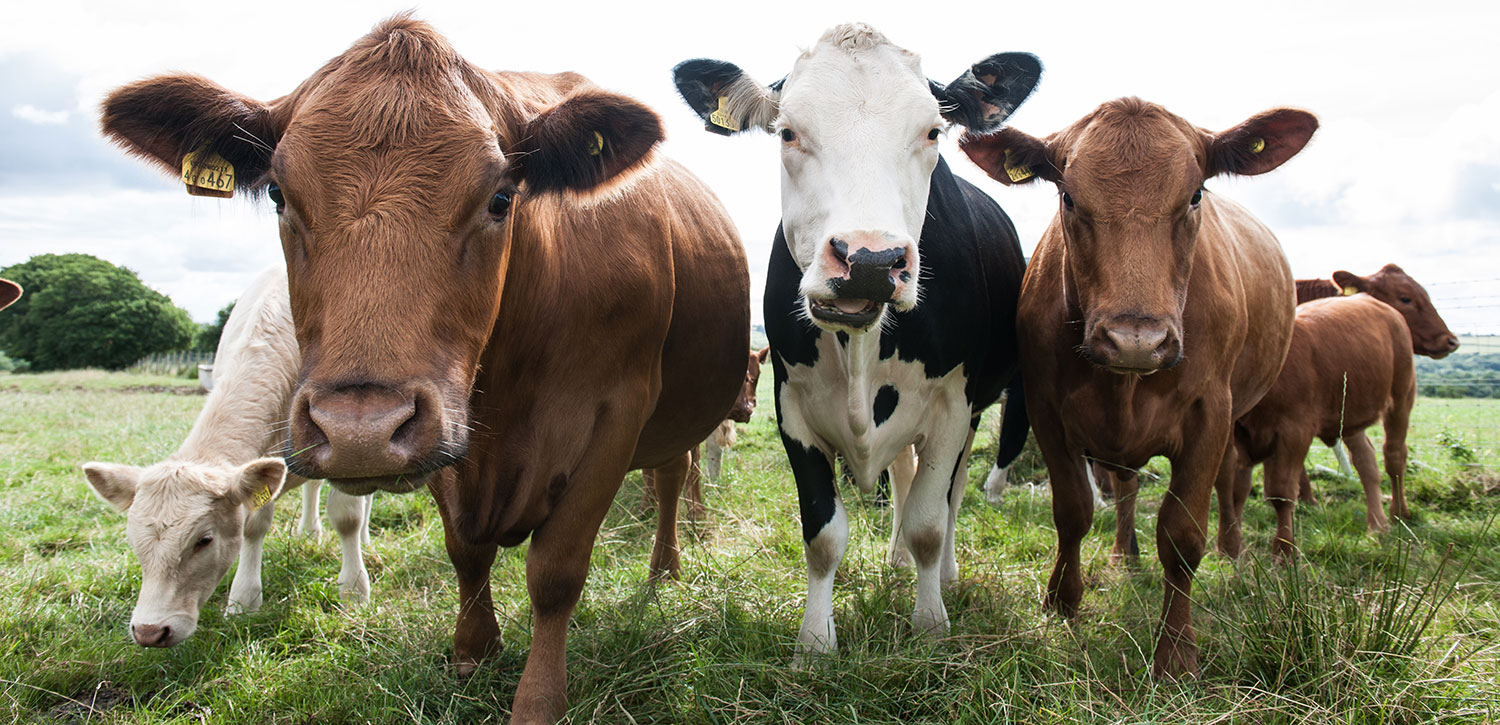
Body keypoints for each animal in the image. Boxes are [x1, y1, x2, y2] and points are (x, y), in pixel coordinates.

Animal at [82, 267, 373, 647]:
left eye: (203, 540)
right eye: (132, 540)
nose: (149, 631)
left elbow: (347, 515)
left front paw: (354, 590)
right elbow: (254, 524)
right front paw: (243, 600)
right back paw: (309, 531)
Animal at [672, 23, 1037, 657]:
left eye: (932, 131)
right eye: (788, 131)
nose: (870, 260)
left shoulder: (952, 404)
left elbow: (929, 522)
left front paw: (930, 625)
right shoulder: (792, 405)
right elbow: (823, 534)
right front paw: (815, 645)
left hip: (972, 413)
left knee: (949, 495)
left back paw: (943, 575)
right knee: (904, 477)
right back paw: (895, 561)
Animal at [961, 98, 1317, 677]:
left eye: (1195, 195)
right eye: (1068, 196)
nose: (1135, 340)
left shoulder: (1210, 413)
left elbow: (1182, 534)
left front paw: (1176, 651)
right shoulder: (1045, 409)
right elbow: (1074, 511)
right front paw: (1062, 603)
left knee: (1230, 481)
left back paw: (1234, 550)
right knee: (1126, 487)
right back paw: (1123, 553)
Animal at [1218, 295, 1416, 560]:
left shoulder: (1295, 430)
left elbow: (1281, 491)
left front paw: (1284, 550)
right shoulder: (1239, 433)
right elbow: (1237, 491)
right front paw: (1234, 549)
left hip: (1402, 396)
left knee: (1394, 456)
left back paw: (1398, 512)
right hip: (1348, 415)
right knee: (1366, 461)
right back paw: (1377, 524)